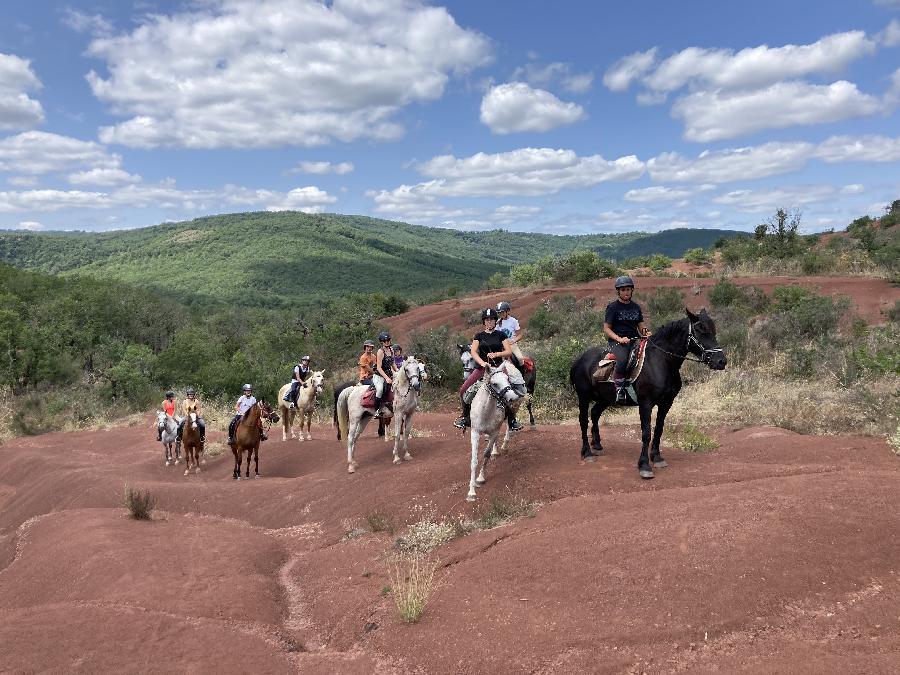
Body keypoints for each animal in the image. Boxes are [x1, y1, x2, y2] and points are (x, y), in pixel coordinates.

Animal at [464, 364, 528, 502]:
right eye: (495, 384)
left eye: (508, 380)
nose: (512, 397)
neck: (486, 411)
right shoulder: (475, 432)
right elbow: (474, 460)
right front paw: (471, 492)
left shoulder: (494, 431)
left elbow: (486, 455)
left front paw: (480, 478)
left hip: (513, 411)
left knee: (509, 427)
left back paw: (502, 447)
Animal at [572, 308, 728, 478]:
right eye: (700, 331)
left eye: (713, 331)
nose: (721, 361)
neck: (661, 362)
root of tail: (579, 359)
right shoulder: (646, 403)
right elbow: (646, 433)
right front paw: (644, 465)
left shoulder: (666, 403)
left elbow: (659, 429)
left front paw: (657, 457)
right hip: (584, 396)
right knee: (583, 421)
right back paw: (587, 453)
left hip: (605, 398)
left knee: (594, 413)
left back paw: (597, 445)